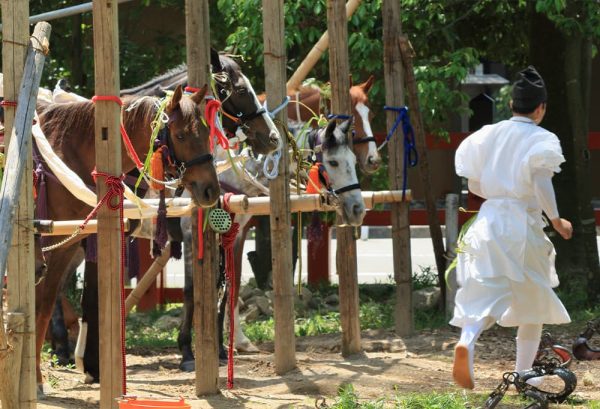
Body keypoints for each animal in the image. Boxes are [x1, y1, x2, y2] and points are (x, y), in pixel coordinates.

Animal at [34, 84, 218, 388]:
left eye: (205, 133)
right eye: (180, 135)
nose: (210, 190)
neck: (66, 152)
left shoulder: (75, 240)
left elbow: (72, 301)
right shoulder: (50, 243)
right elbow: (41, 304)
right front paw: (36, 379)